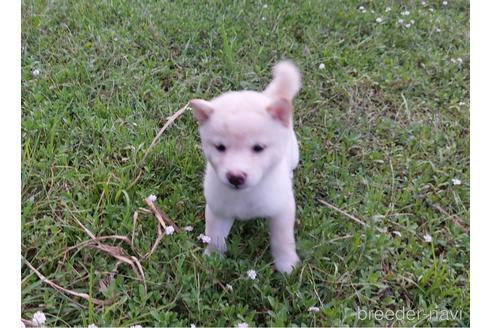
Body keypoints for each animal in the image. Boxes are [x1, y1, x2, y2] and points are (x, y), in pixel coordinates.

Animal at [190, 60, 302, 272]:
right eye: (220, 147)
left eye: (258, 148)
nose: (235, 176)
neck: (244, 196)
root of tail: (268, 97)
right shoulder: (218, 211)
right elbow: (215, 237)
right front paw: (213, 259)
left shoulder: (281, 211)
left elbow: (282, 240)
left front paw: (286, 265)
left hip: (293, 154)